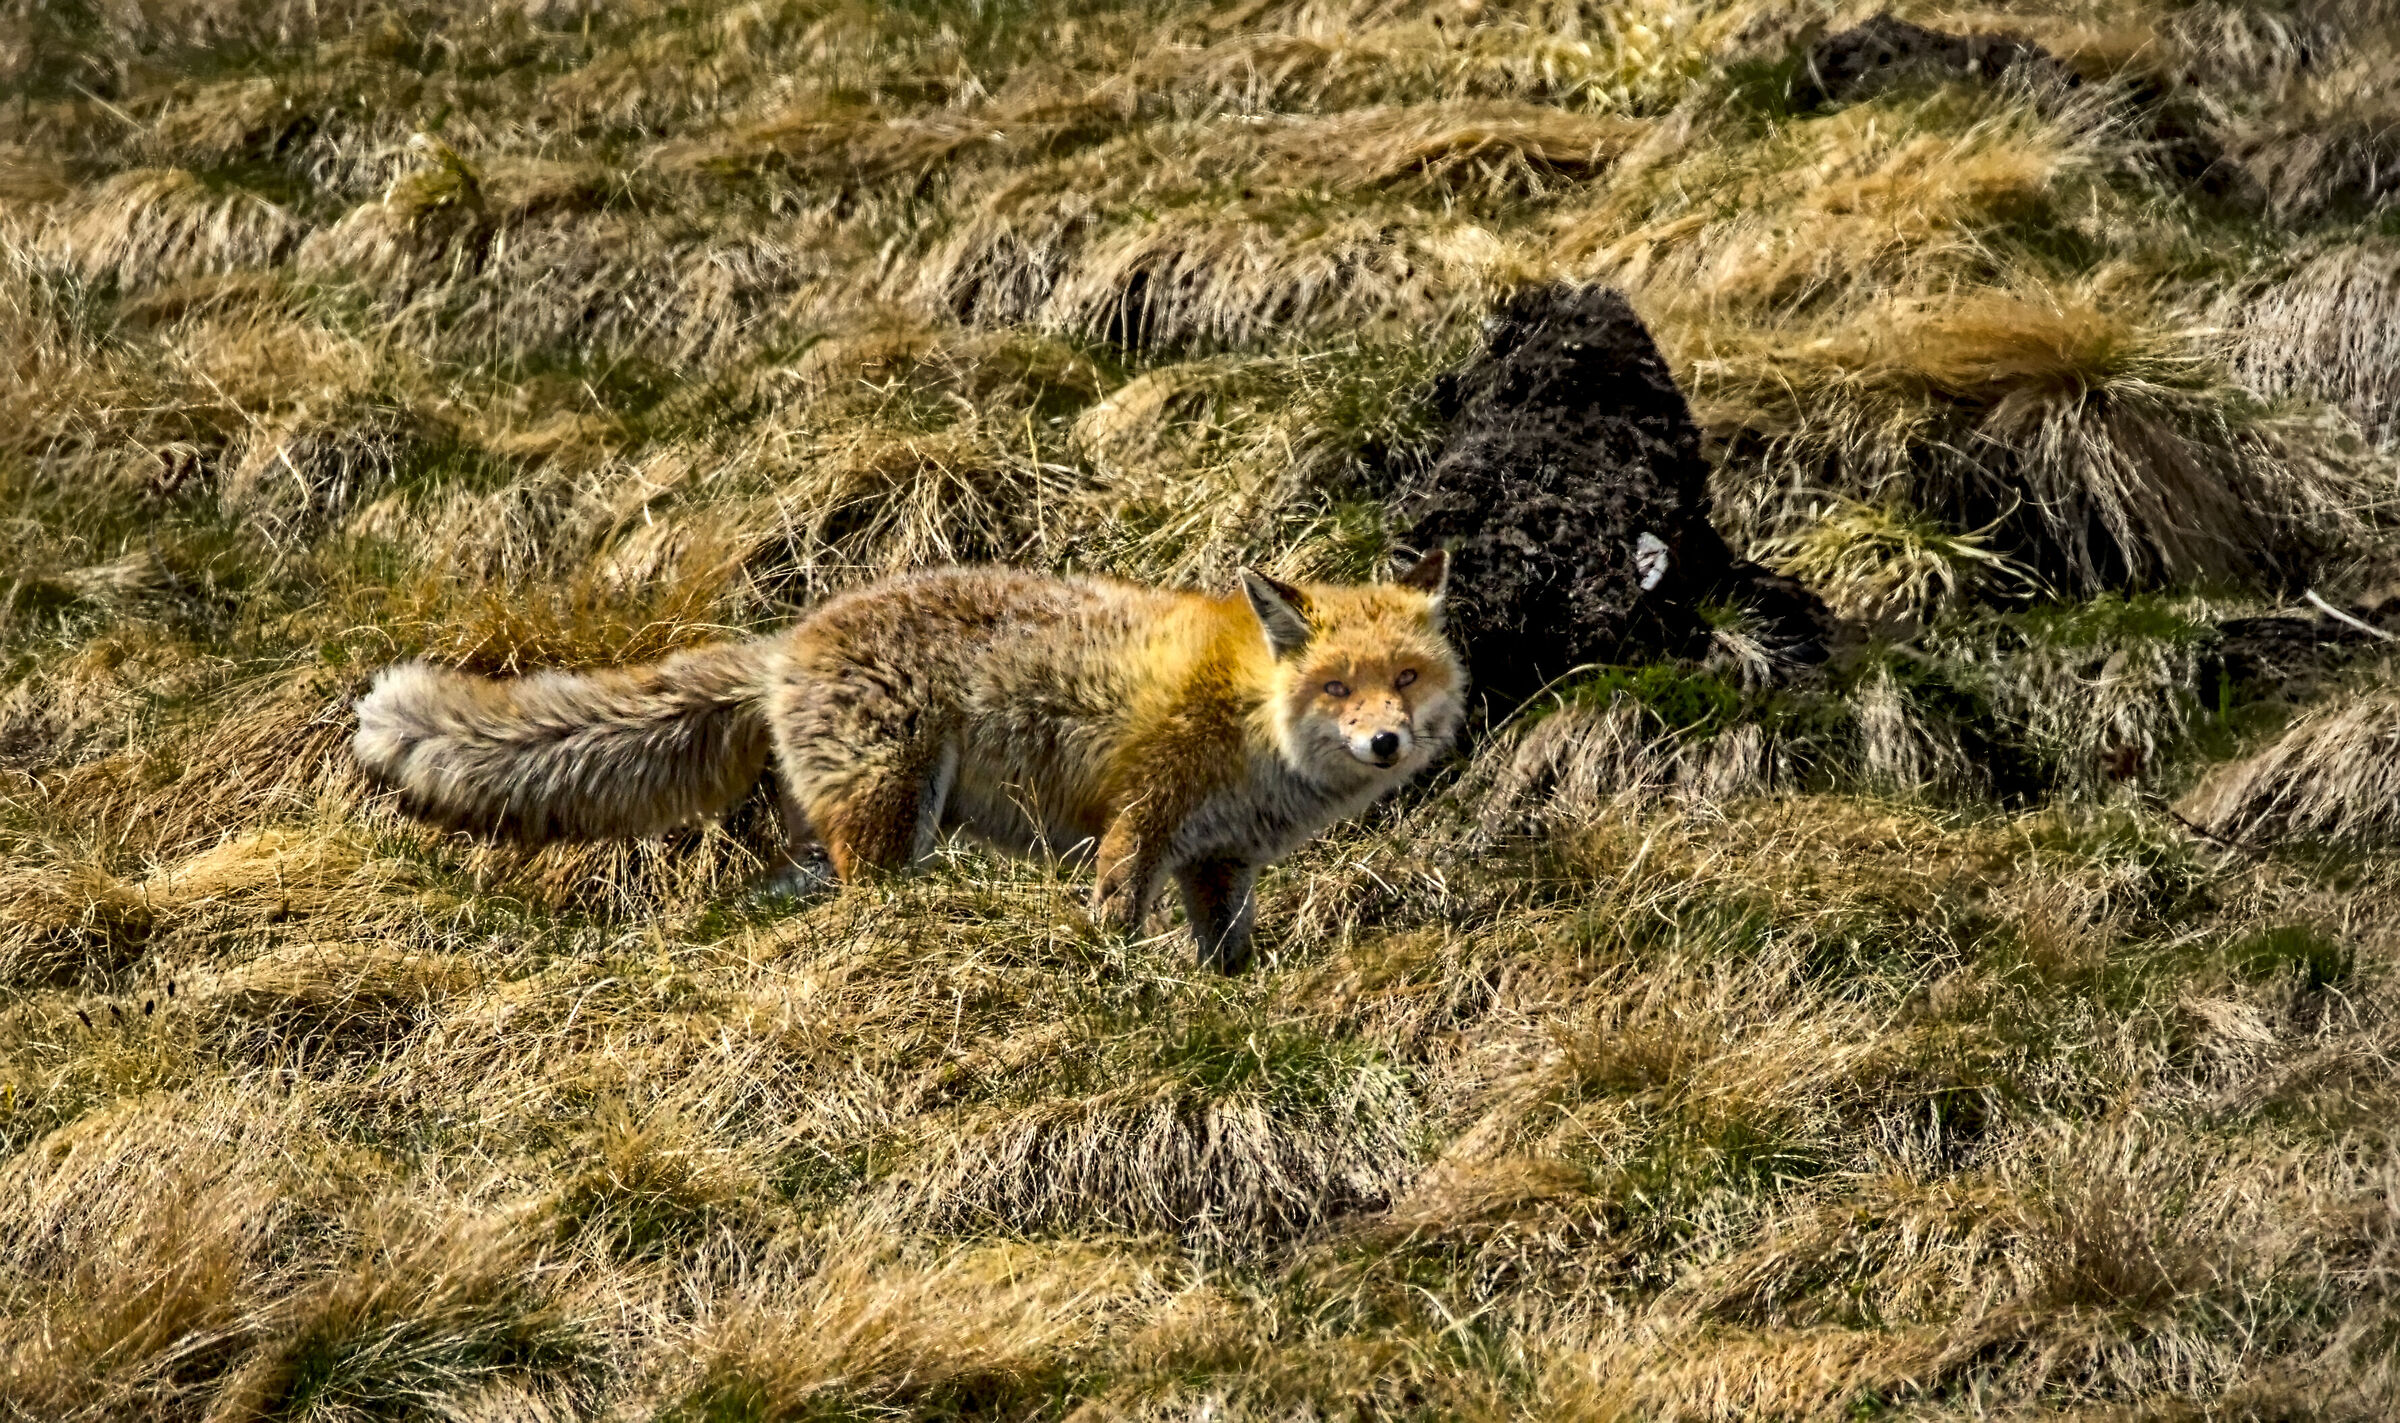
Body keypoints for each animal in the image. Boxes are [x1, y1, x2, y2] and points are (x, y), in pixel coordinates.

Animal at [350, 551, 1462, 971]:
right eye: (1338, 685)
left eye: (1404, 678)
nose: (1386, 741)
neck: (1254, 721)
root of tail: (784, 647)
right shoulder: (1142, 815)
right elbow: (1115, 910)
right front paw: (1114, 977)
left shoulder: (1219, 860)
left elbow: (1228, 948)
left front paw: (1232, 992)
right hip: (892, 820)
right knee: (856, 900)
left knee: (771, 891)